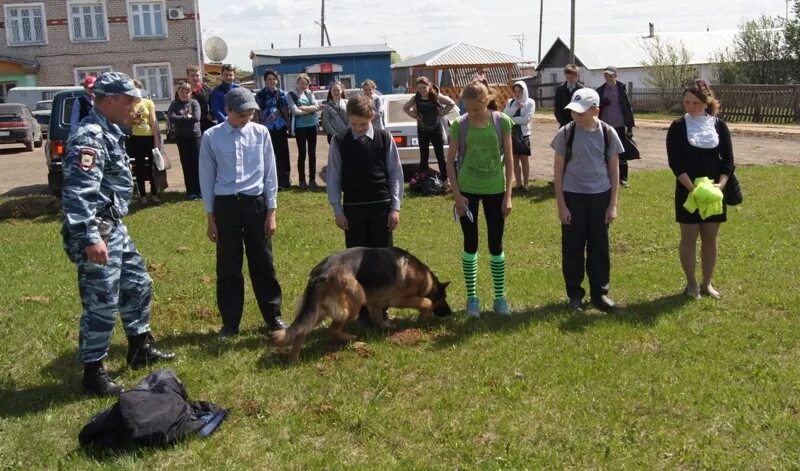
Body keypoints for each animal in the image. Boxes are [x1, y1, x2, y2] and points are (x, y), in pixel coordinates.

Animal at [274, 247, 450, 366]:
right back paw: (352, 339)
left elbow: (379, 319)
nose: (450, 313)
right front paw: (422, 318)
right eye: (444, 298)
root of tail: (321, 273)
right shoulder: (399, 299)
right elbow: (426, 302)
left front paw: (386, 328)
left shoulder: (375, 303)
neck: (426, 279)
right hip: (354, 302)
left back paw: (293, 359)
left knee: (300, 332)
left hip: (318, 310)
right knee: (331, 330)